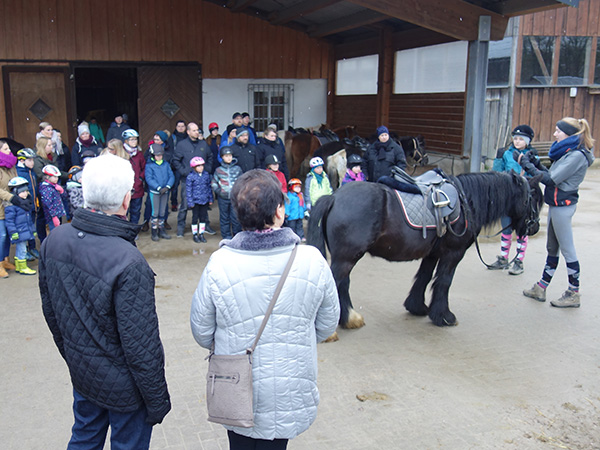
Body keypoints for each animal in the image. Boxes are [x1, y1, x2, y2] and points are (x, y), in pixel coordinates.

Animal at [310, 171, 544, 328]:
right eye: (532, 198)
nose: (534, 227)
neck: (466, 201)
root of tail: (333, 197)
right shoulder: (453, 253)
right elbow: (444, 282)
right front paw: (444, 316)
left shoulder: (432, 253)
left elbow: (423, 277)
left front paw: (417, 307)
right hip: (347, 258)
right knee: (337, 283)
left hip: (346, 257)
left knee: (342, 284)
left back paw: (349, 319)